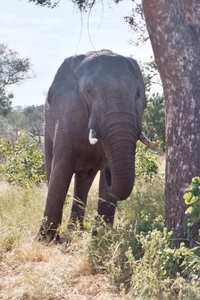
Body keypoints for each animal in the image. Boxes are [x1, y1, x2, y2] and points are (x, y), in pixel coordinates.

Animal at [38, 49, 159, 241]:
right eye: (90, 91)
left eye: (138, 94)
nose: (109, 173)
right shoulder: (66, 114)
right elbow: (62, 169)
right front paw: (46, 241)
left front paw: (102, 238)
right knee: (53, 171)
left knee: (84, 182)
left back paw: (76, 230)